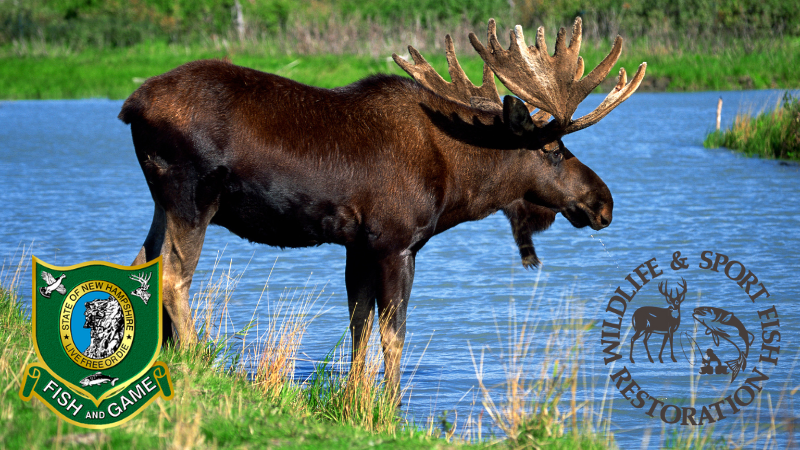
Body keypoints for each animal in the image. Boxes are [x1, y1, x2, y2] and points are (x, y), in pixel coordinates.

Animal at [118, 17, 646, 397]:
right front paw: (390, 407)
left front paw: (354, 401)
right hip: (191, 195)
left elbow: (359, 327)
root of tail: (130, 105)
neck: (459, 181)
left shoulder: (358, 245)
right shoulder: (396, 242)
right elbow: (394, 334)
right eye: (553, 149)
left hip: (162, 202)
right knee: (173, 275)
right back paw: (195, 360)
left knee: (143, 262)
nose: (604, 202)